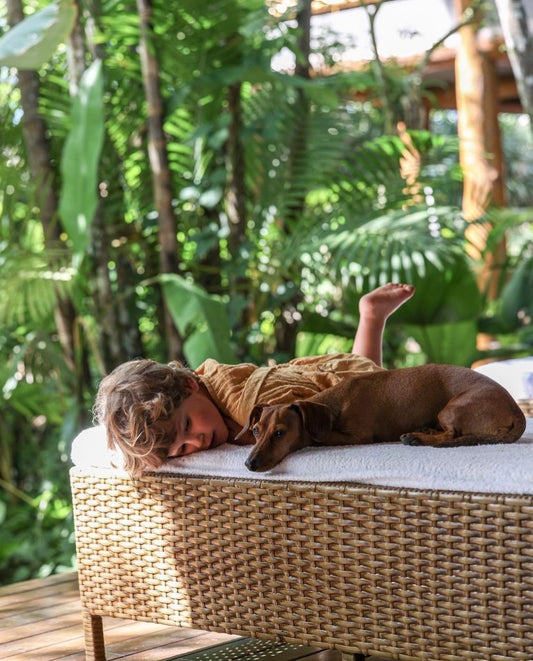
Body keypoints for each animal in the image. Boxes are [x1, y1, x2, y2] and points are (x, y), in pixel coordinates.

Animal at [235, 364, 527, 472]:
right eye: (256, 431)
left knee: (451, 436)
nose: (249, 463)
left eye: (280, 433)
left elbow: (317, 438)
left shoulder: (357, 435)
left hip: (451, 409)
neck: (335, 404)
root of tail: (517, 411)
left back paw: (417, 438)